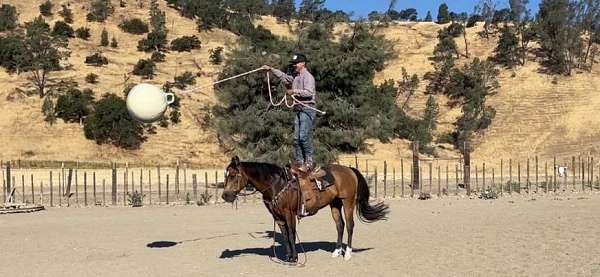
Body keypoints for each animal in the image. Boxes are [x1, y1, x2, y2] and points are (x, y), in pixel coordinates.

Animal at [220, 156, 390, 262]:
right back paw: (336, 252)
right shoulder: (277, 216)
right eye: (226, 175)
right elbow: (285, 236)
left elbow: (291, 234)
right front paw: (288, 257)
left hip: (347, 202)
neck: (277, 184)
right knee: (339, 225)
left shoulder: (289, 213)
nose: (225, 196)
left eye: (233, 175)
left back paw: (347, 253)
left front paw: (294, 258)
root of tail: (349, 170)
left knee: (349, 225)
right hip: (335, 204)